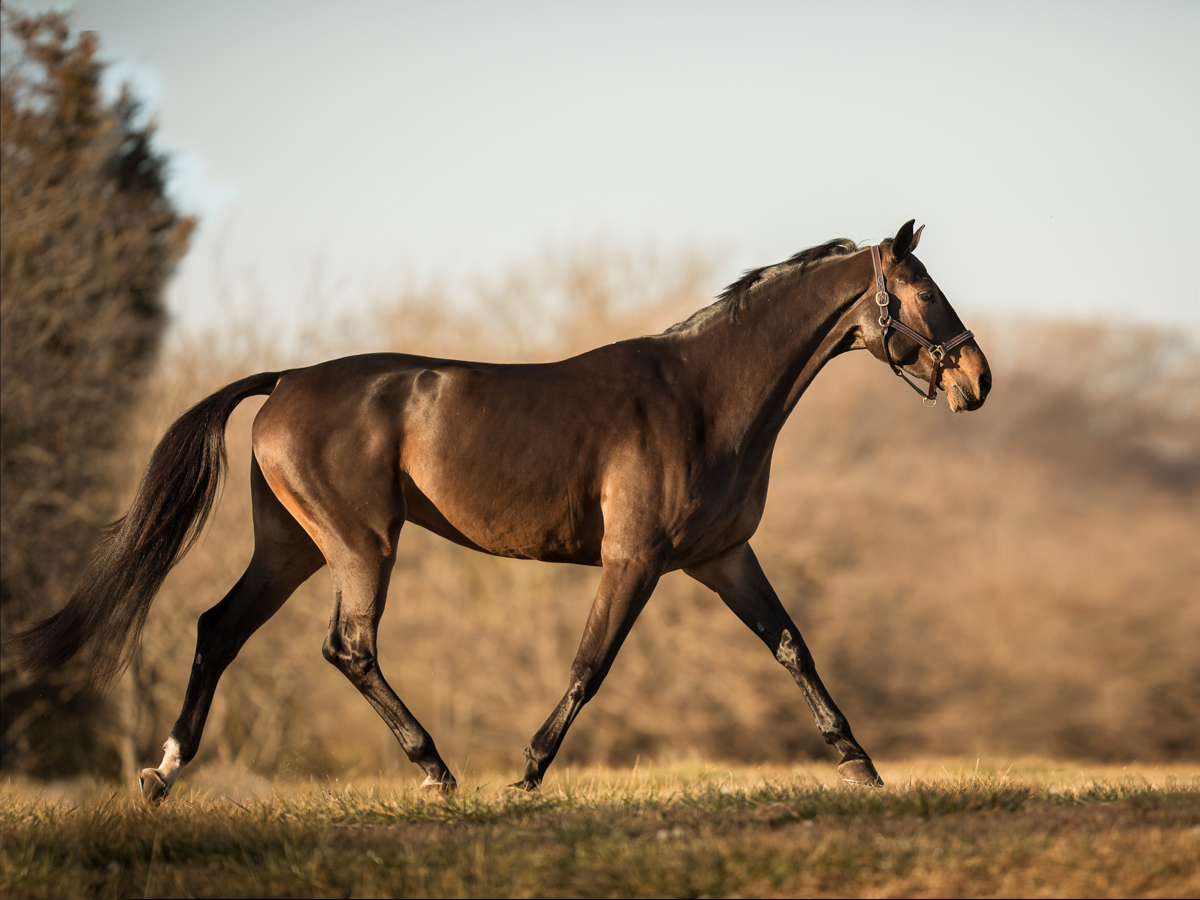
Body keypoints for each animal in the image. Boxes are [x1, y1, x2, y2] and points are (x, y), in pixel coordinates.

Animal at [4, 220, 988, 801]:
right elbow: (591, 665)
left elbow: (792, 647)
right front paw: (527, 774)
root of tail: (285, 380)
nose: (977, 381)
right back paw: (435, 771)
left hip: (293, 547)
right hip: (361, 545)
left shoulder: (724, 559)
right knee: (347, 648)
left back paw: (163, 774)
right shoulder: (635, 560)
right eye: (926, 292)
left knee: (219, 628)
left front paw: (860, 766)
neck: (704, 396)